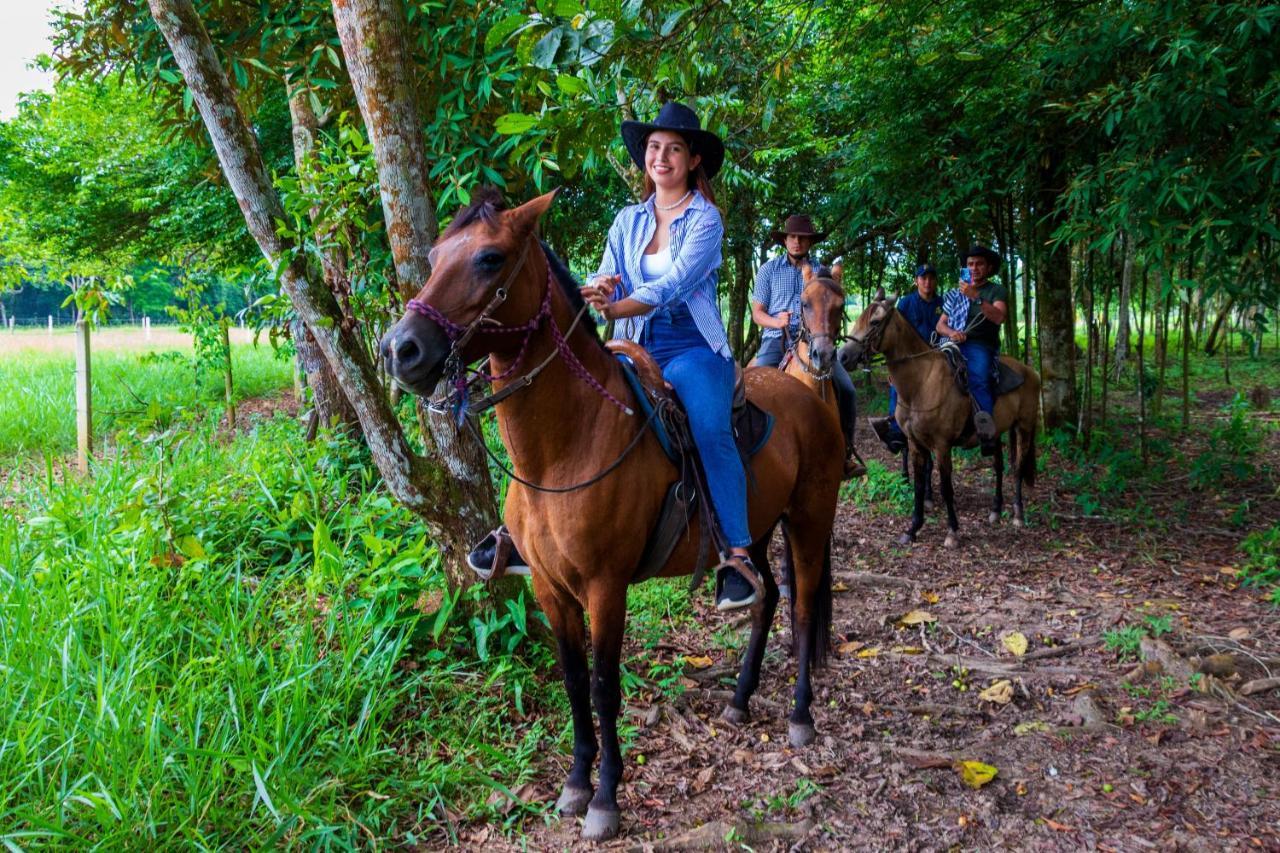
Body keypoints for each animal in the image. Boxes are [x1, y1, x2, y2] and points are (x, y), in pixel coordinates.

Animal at [384, 189, 849, 840]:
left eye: (490, 258)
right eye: (432, 257)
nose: (400, 350)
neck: (566, 448)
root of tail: (812, 394)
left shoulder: (606, 587)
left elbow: (605, 686)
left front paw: (605, 798)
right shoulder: (550, 587)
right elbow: (575, 681)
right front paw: (576, 783)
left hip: (809, 518)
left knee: (804, 607)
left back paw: (800, 716)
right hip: (755, 529)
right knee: (766, 596)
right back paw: (739, 697)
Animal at [839, 292, 1039, 545]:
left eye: (875, 322)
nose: (842, 355)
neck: (922, 382)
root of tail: (1030, 371)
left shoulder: (942, 445)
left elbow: (945, 487)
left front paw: (952, 531)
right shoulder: (915, 444)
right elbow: (918, 484)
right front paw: (912, 529)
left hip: (1025, 427)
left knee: (1019, 467)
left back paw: (1018, 513)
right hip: (997, 432)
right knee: (999, 466)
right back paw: (995, 510)